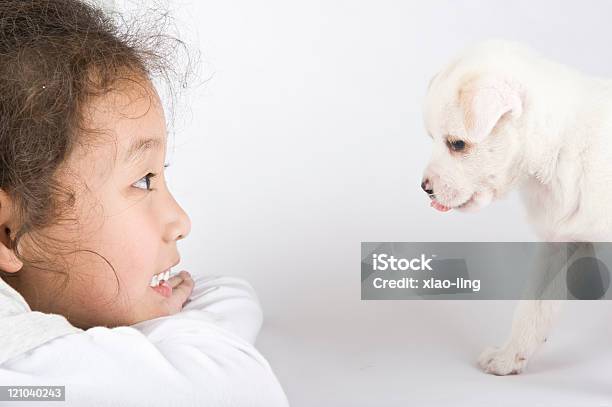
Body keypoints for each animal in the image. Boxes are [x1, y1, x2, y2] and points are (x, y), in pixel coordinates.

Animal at [420, 39, 612, 378]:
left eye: (457, 144)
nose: (425, 188)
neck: (561, 145)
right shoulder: (560, 243)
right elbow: (533, 308)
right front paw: (508, 357)